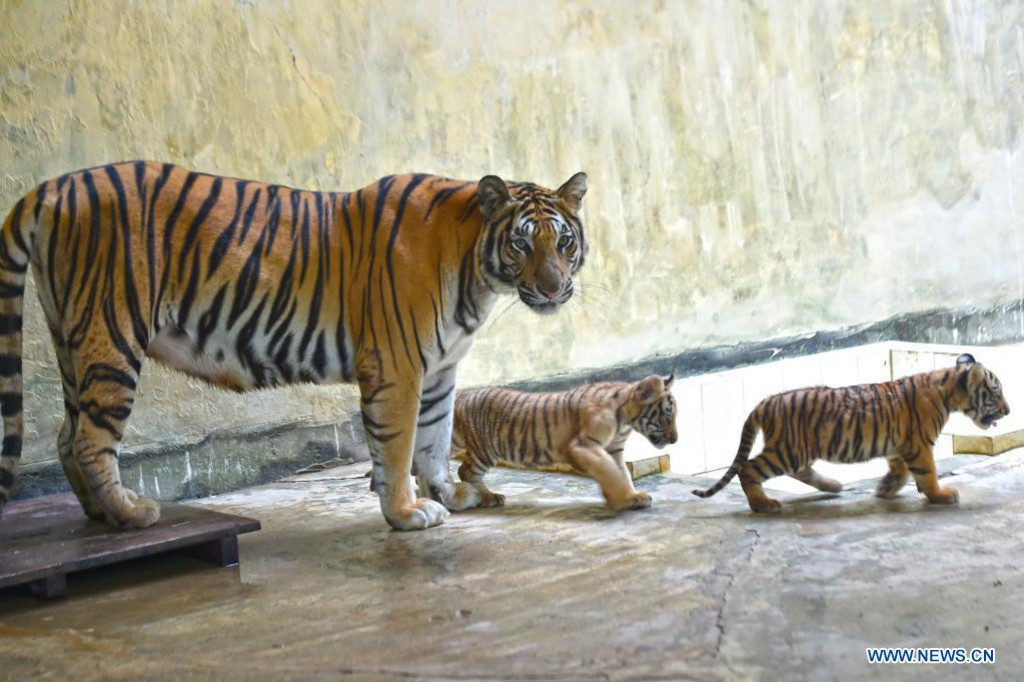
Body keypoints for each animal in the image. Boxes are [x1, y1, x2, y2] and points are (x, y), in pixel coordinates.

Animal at [0, 161, 589, 528]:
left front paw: (450, 494)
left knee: (66, 435)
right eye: (521, 245)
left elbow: (436, 439)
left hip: (73, 340)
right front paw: (406, 513)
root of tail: (52, 187)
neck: (478, 274)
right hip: (111, 336)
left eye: (564, 241)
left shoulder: (440, 371)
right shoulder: (399, 367)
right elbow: (399, 446)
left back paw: (101, 516)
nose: (554, 288)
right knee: (89, 439)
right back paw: (132, 514)